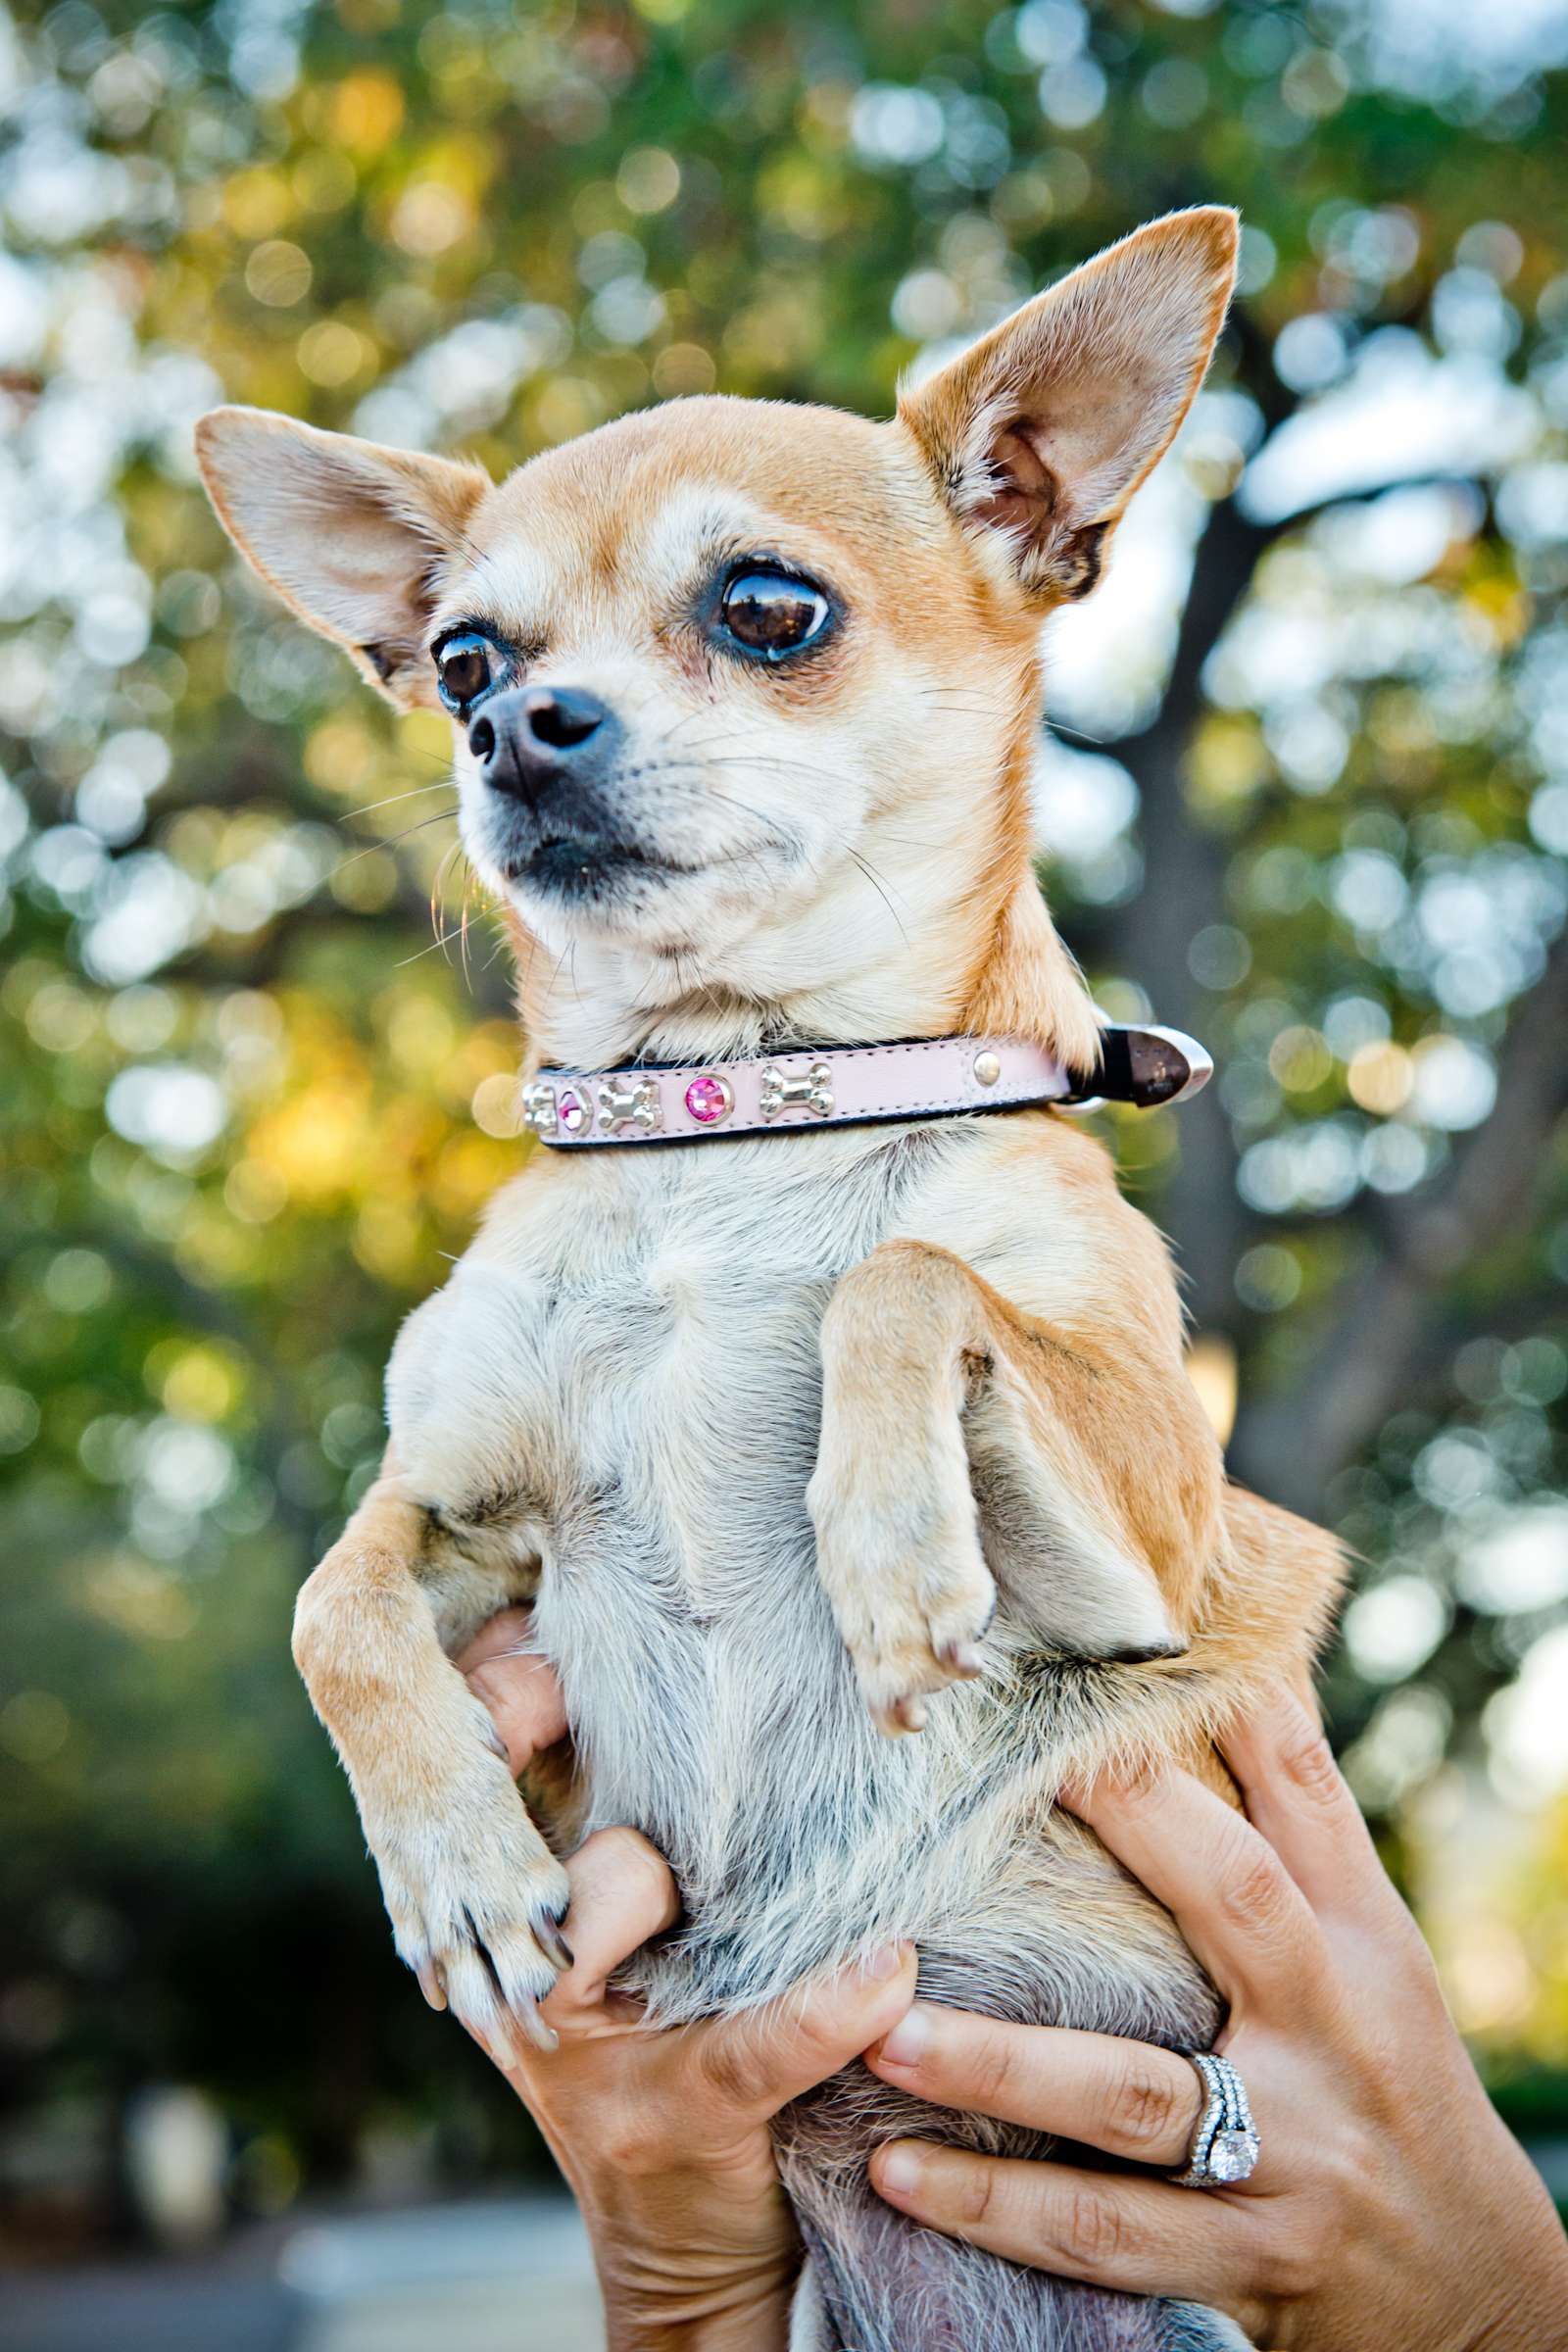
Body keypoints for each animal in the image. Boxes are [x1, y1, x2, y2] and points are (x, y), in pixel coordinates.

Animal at [202, 207, 1345, 2352]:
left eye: (764, 610)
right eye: (462, 659)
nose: (509, 729)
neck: (726, 1129)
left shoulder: (1158, 1547)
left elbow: (907, 1267)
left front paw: (884, 1539)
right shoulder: (453, 1510)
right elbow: (332, 1604)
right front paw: (453, 1866)